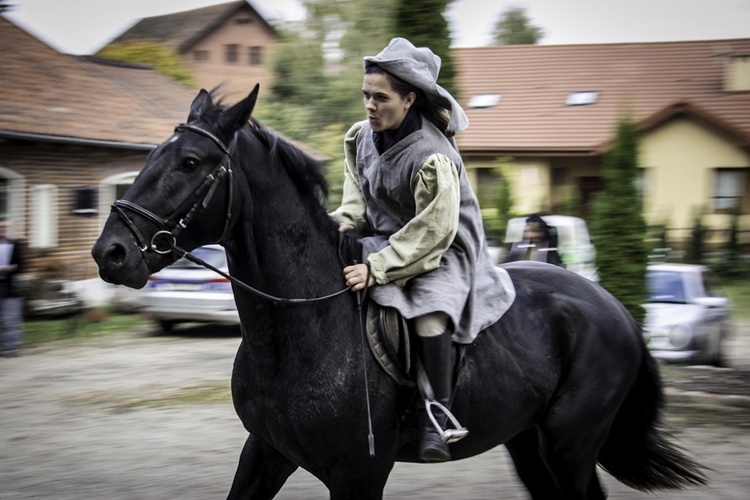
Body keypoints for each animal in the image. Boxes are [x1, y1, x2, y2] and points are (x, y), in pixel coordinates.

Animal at [91, 84, 708, 498]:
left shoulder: (358, 475)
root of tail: (618, 311)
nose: (110, 253)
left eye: (190, 163)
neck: (300, 332)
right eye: (151, 157)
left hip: (569, 447)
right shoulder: (265, 453)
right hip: (529, 444)